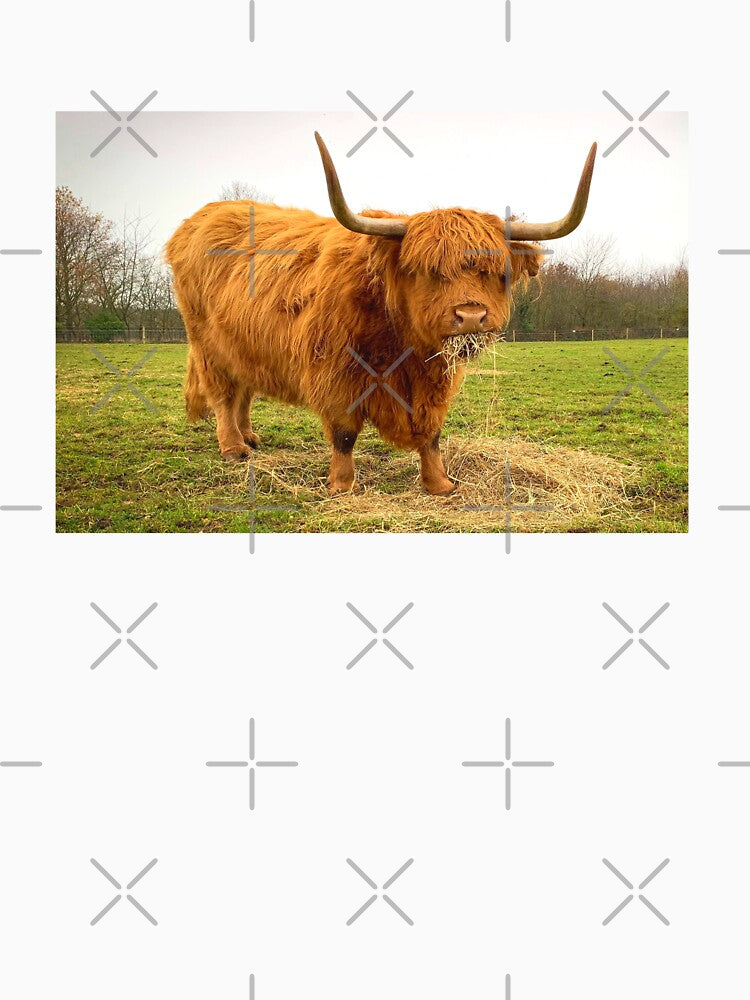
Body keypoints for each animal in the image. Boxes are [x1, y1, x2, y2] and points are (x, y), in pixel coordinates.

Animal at [165, 134, 596, 495]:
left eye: (494, 272)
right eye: (428, 270)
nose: (471, 316)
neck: (403, 343)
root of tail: (199, 220)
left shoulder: (434, 380)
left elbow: (431, 432)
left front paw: (440, 484)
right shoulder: (336, 374)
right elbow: (343, 433)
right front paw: (342, 485)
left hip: (244, 344)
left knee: (244, 390)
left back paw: (250, 438)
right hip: (206, 343)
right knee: (224, 394)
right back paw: (234, 447)